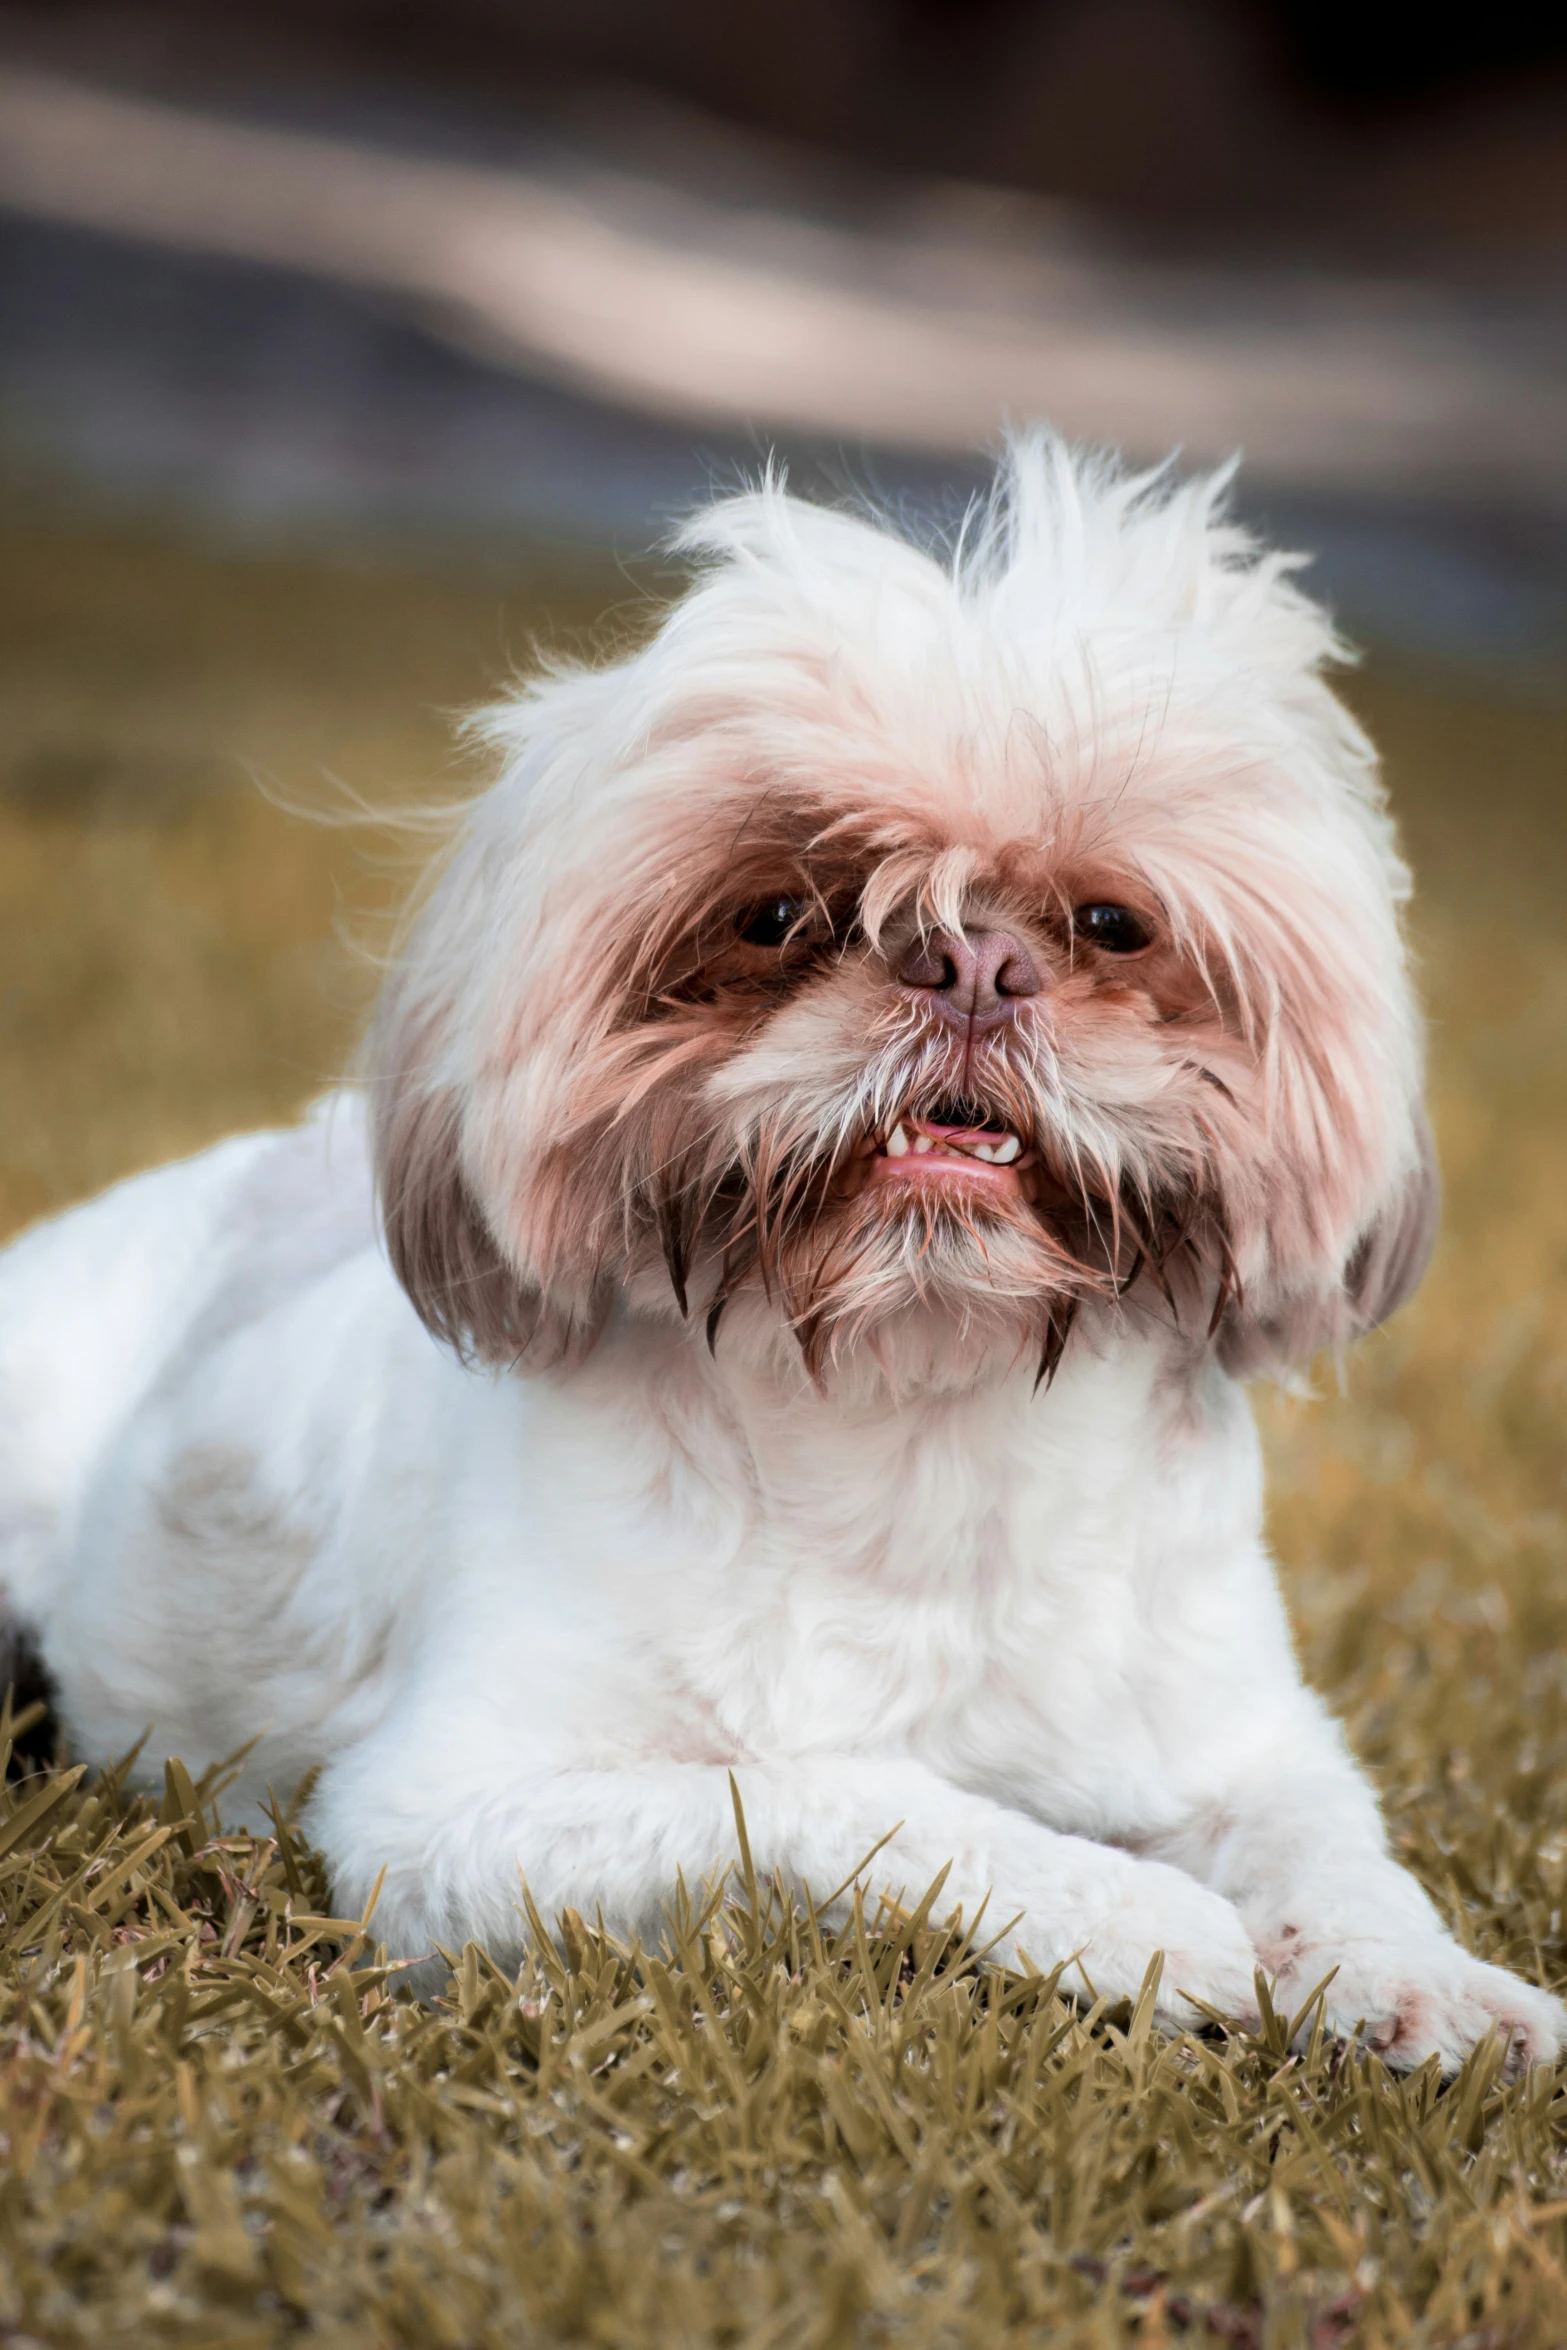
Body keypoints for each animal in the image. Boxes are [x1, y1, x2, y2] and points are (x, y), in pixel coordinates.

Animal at [0, 437, 1559, 2058]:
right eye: (775, 914)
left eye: (1109, 921)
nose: (971, 962)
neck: (923, 1409)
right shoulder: (444, 1818)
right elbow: (837, 1789)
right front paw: (1142, 1918)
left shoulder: (1249, 1738)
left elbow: (1336, 1853)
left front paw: (1431, 1982)